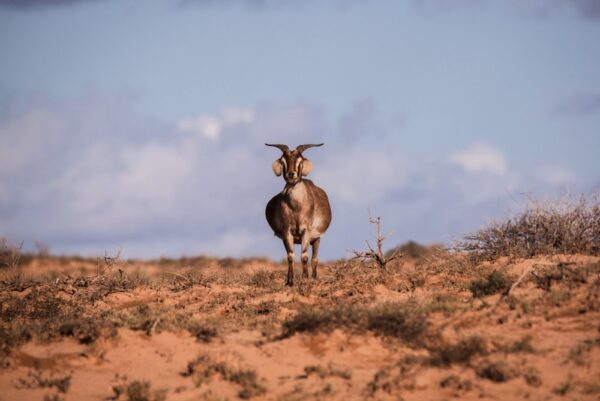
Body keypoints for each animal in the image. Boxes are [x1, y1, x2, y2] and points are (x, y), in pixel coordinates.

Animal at [266, 142, 332, 286]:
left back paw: (313, 278)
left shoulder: (306, 232)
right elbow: (290, 256)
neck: (296, 207)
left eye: (300, 160)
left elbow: (304, 256)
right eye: (283, 161)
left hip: (316, 239)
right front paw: (290, 281)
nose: (291, 174)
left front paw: (305, 278)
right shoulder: (287, 232)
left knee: (314, 259)